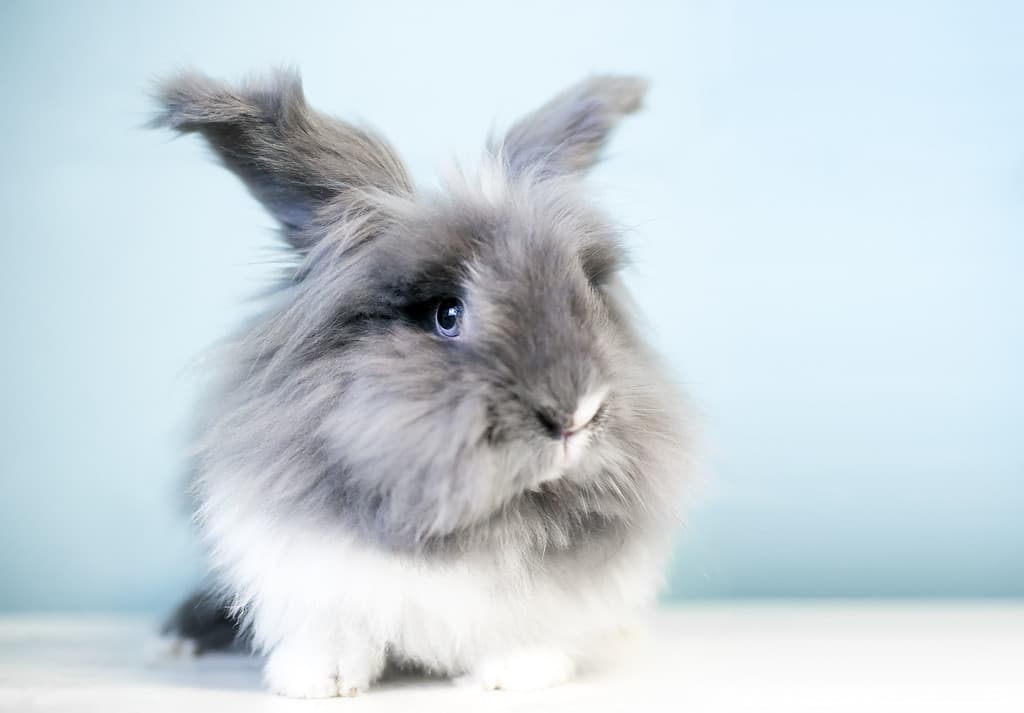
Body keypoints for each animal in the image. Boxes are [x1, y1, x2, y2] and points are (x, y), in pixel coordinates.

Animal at [151, 68, 692, 696]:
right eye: (446, 314)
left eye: (587, 292)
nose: (575, 413)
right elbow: (331, 627)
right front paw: (319, 680)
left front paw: (519, 672)